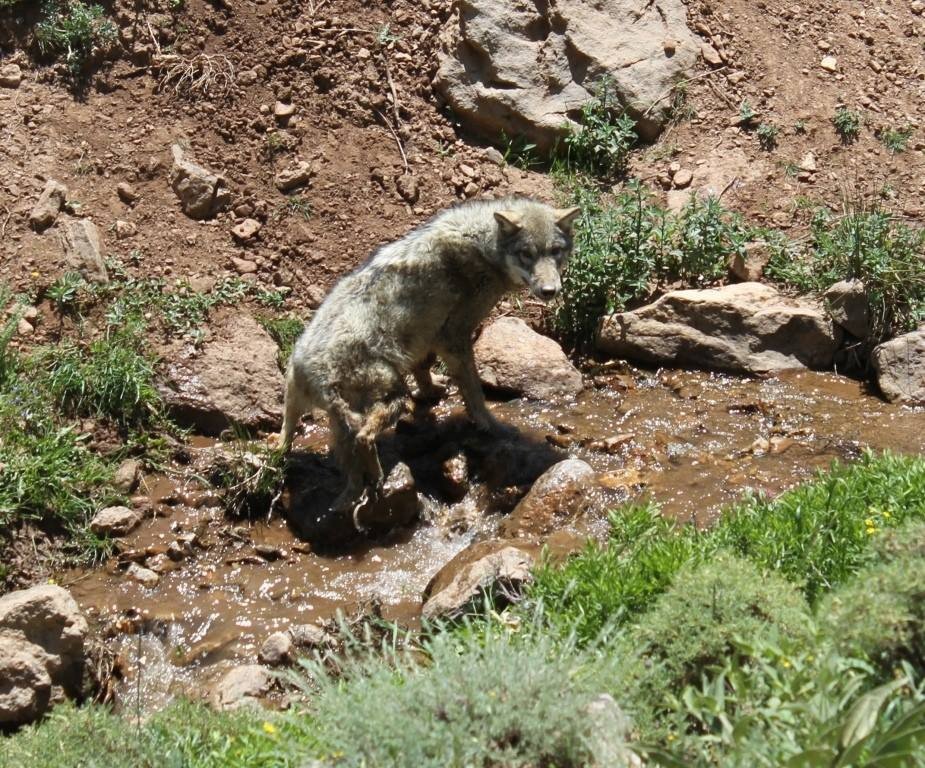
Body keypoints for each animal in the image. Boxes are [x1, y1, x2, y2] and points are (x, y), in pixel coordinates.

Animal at [278, 195, 576, 512]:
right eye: (526, 254)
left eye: (555, 251)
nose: (550, 291)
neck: (484, 246)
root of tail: (310, 373)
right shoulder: (454, 337)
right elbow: (475, 395)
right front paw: (491, 426)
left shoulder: (427, 337)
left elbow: (424, 368)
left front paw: (432, 391)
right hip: (393, 394)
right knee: (363, 437)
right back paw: (377, 479)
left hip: (315, 412)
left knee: (292, 442)